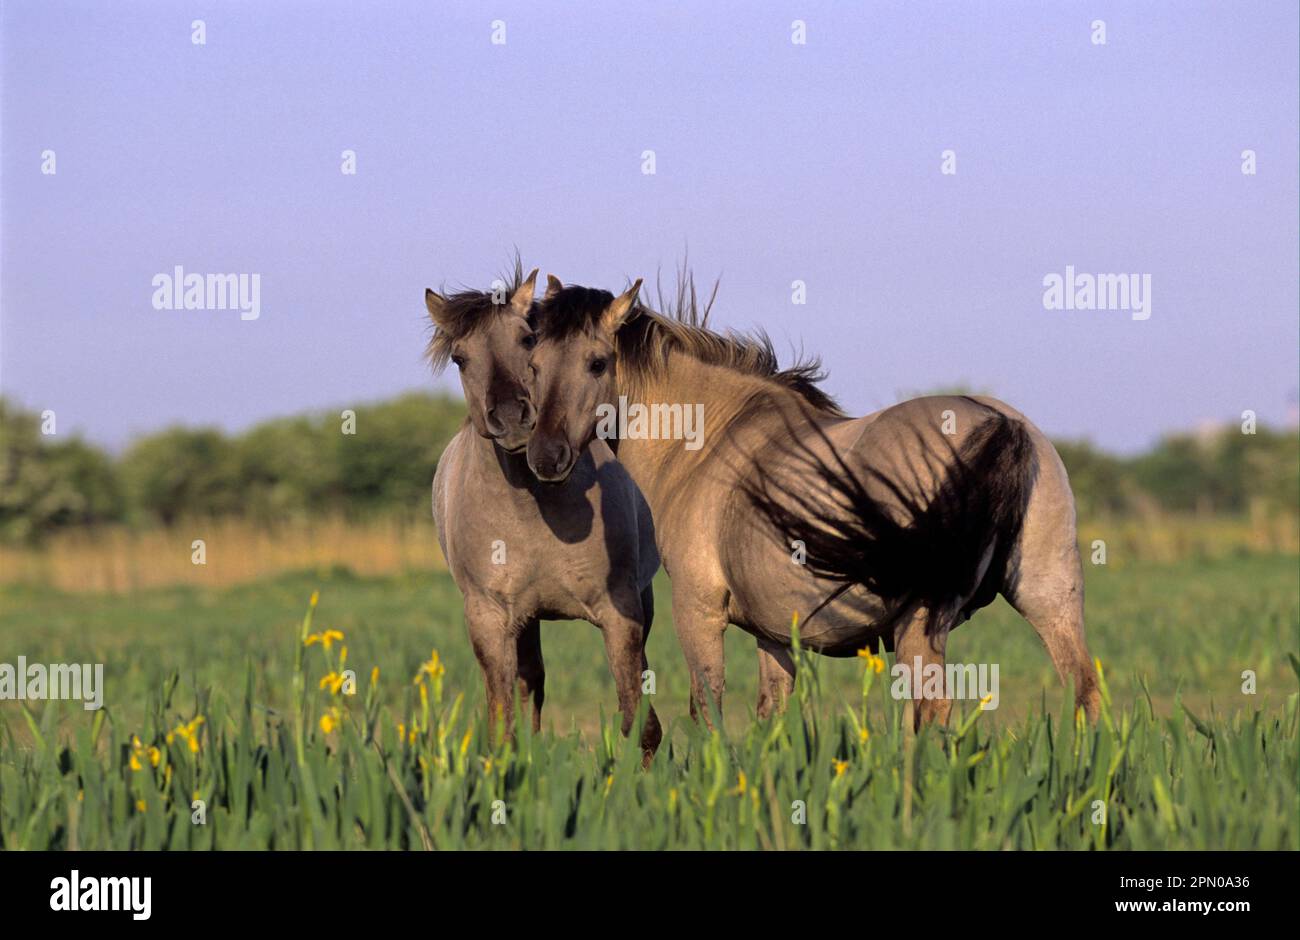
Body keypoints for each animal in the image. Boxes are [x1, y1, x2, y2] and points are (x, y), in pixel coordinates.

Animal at [426, 266, 665, 759]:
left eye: (526, 338)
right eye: (460, 358)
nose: (512, 417)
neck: (533, 510)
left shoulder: (621, 614)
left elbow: (639, 722)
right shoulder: (489, 620)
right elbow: (503, 725)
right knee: (528, 686)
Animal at [522, 275, 1102, 733]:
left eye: (598, 363)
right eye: (533, 363)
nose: (546, 456)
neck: (709, 439)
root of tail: (997, 422)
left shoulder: (698, 612)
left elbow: (707, 712)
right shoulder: (774, 636)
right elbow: (771, 718)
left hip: (922, 621)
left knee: (931, 711)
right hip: (1049, 596)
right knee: (1085, 693)